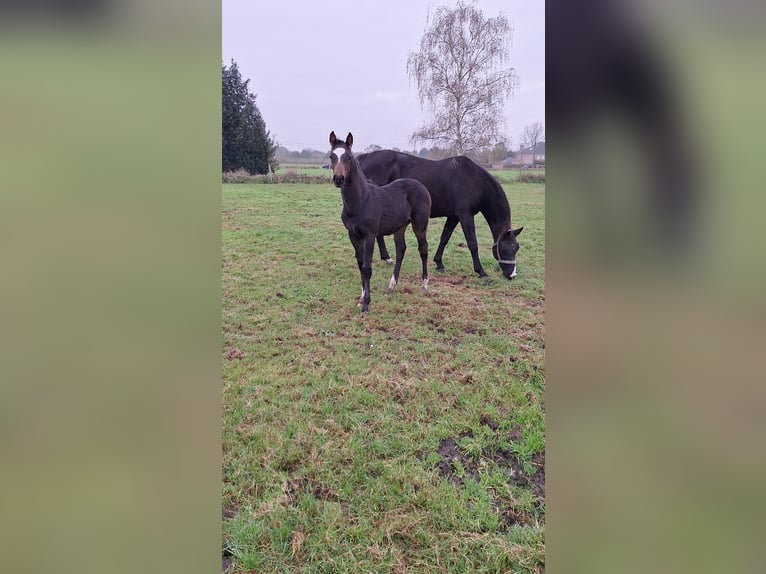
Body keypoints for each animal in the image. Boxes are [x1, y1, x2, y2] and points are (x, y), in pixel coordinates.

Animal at [330, 132, 432, 316]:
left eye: (348, 157)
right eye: (331, 156)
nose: (339, 178)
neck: (360, 201)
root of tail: (421, 186)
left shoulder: (369, 236)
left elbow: (367, 268)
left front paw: (366, 304)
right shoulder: (353, 235)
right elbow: (360, 265)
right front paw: (361, 298)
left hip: (419, 225)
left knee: (423, 249)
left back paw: (424, 284)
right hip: (400, 227)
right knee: (401, 250)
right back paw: (391, 285)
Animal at [356, 151, 524, 282]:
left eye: (516, 248)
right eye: (504, 248)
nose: (512, 275)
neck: (474, 180)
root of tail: (364, 157)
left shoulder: (454, 217)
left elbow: (445, 238)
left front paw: (439, 263)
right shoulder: (465, 216)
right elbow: (472, 244)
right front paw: (481, 271)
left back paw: (387, 257)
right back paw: (386, 257)